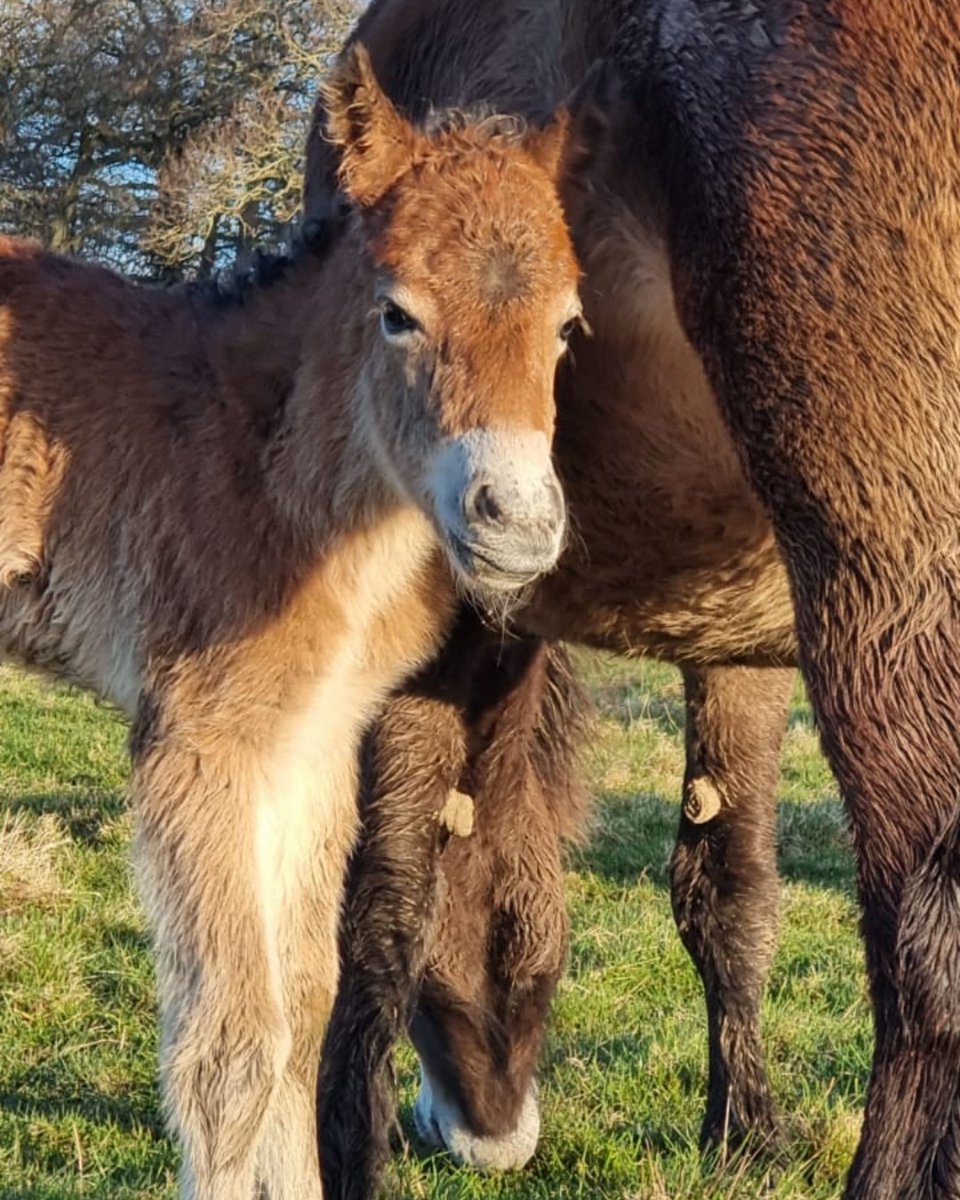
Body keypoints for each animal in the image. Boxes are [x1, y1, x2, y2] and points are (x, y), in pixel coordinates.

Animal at [0, 46, 580, 1200]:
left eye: (568, 327)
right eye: (398, 313)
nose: (520, 522)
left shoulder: (308, 744)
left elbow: (304, 1007)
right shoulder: (201, 743)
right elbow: (234, 1043)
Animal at [312, 2, 960, 1200]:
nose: (487, 1137)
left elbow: (380, 898)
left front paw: (346, 1151)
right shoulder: (740, 647)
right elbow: (726, 889)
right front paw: (744, 1131)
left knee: (926, 937)